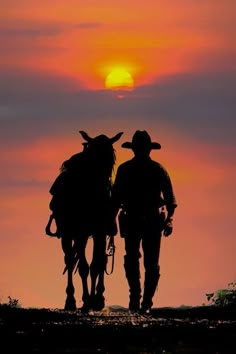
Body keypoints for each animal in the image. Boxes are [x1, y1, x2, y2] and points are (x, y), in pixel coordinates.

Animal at [46, 131, 122, 312]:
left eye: (111, 157)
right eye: (94, 156)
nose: (105, 187)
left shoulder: (99, 232)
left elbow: (97, 264)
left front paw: (97, 299)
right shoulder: (79, 233)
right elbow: (83, 267)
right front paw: (86, 301)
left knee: (98, 260)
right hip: (68, 235)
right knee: (69, 259)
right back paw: (70, 300)